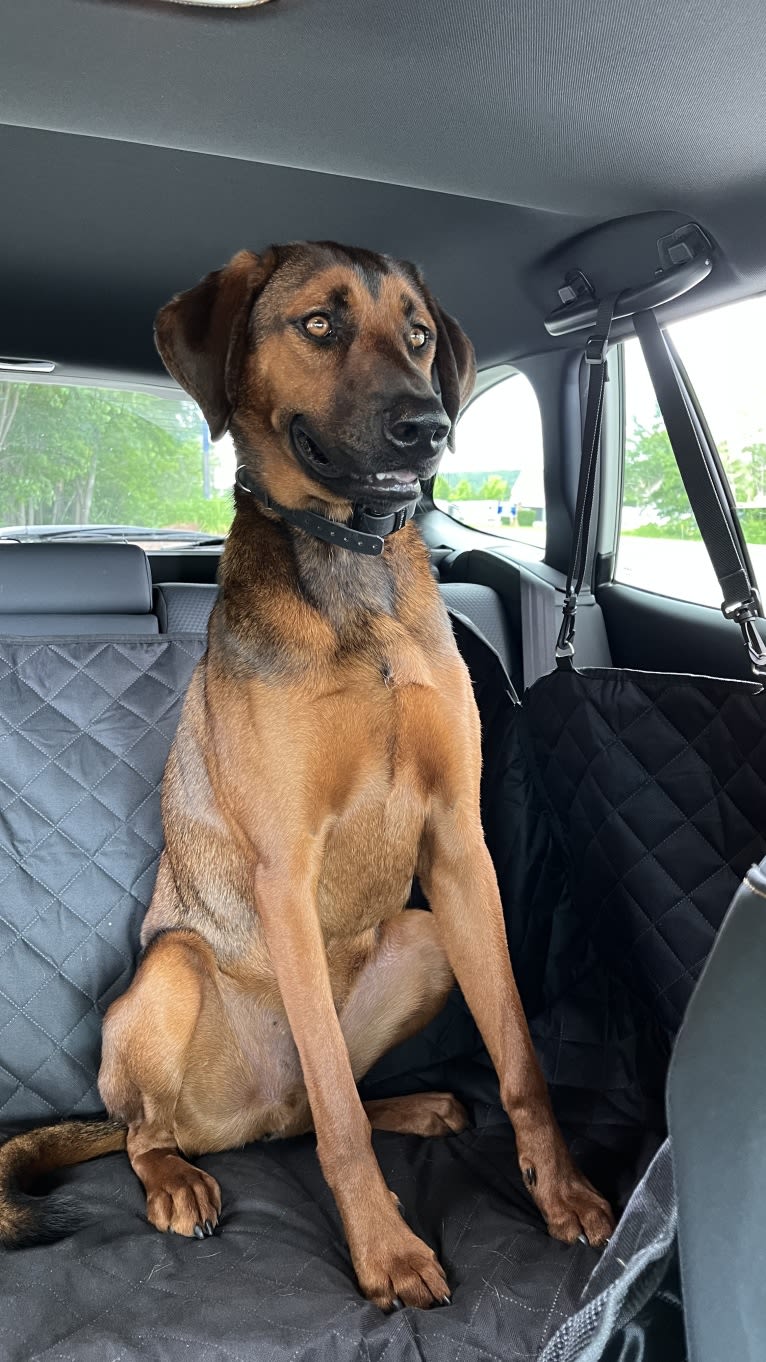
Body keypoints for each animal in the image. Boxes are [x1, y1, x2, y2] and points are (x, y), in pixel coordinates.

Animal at [0, 242, 610, 1307]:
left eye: (418, 333)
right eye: (319, 324)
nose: (429, 426)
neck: (352, 571)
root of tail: (246, 1119)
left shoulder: (460, 847)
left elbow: (521, 1058)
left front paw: (563, 1192)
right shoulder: (286, 869)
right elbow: (338, 1114)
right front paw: (388, 1252)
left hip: (423, 937)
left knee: (321, 1098)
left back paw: (416, 1106)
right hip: (172, 974)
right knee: (168, 1128)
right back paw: (175, 1180)